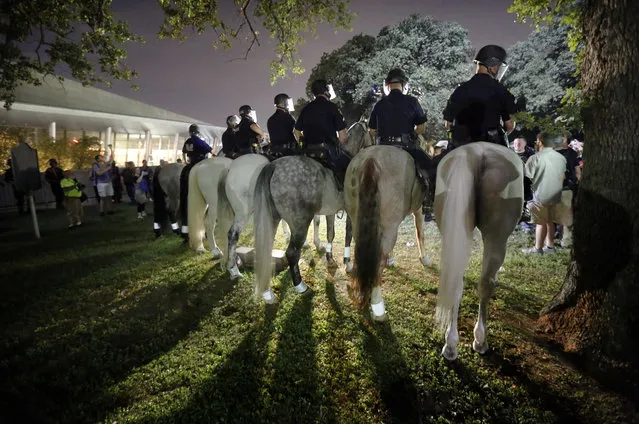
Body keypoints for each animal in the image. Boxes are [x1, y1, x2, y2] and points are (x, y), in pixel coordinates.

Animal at [252, 121, 372, 304]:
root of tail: (273, 166)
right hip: (300, 224)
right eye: (370, 133)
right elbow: (348, 235)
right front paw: (348, 263)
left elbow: (331, 233)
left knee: (265, 250)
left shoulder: (331, 211)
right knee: (292, 253)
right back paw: (301, 287)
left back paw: (267, 293)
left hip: (271, 220)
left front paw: (330, 258)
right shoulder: (351, 210)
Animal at [432, 142, 524, 362]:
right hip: (497, 236)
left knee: (456, 282)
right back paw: (480, 340)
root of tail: (477, 153)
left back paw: (450, 344)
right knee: (486, 283)